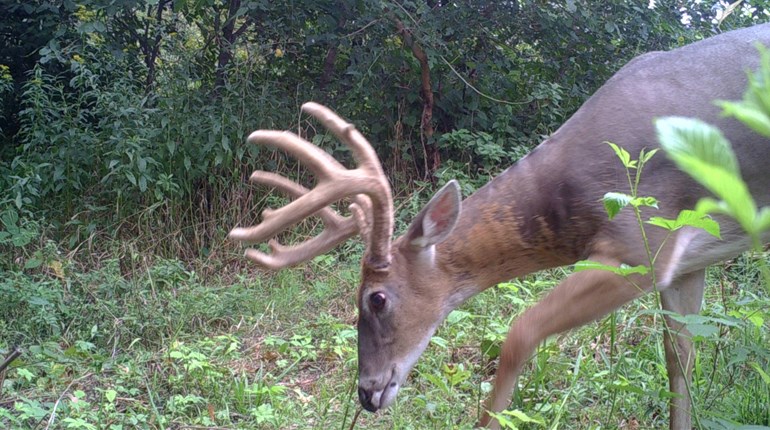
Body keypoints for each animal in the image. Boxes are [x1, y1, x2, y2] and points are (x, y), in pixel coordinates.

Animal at [230, 23, 770, 429]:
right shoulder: (686, 262)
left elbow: (519, 332)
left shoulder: (642, 243)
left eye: (376, 298)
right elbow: (680, 365)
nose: (366, 392)